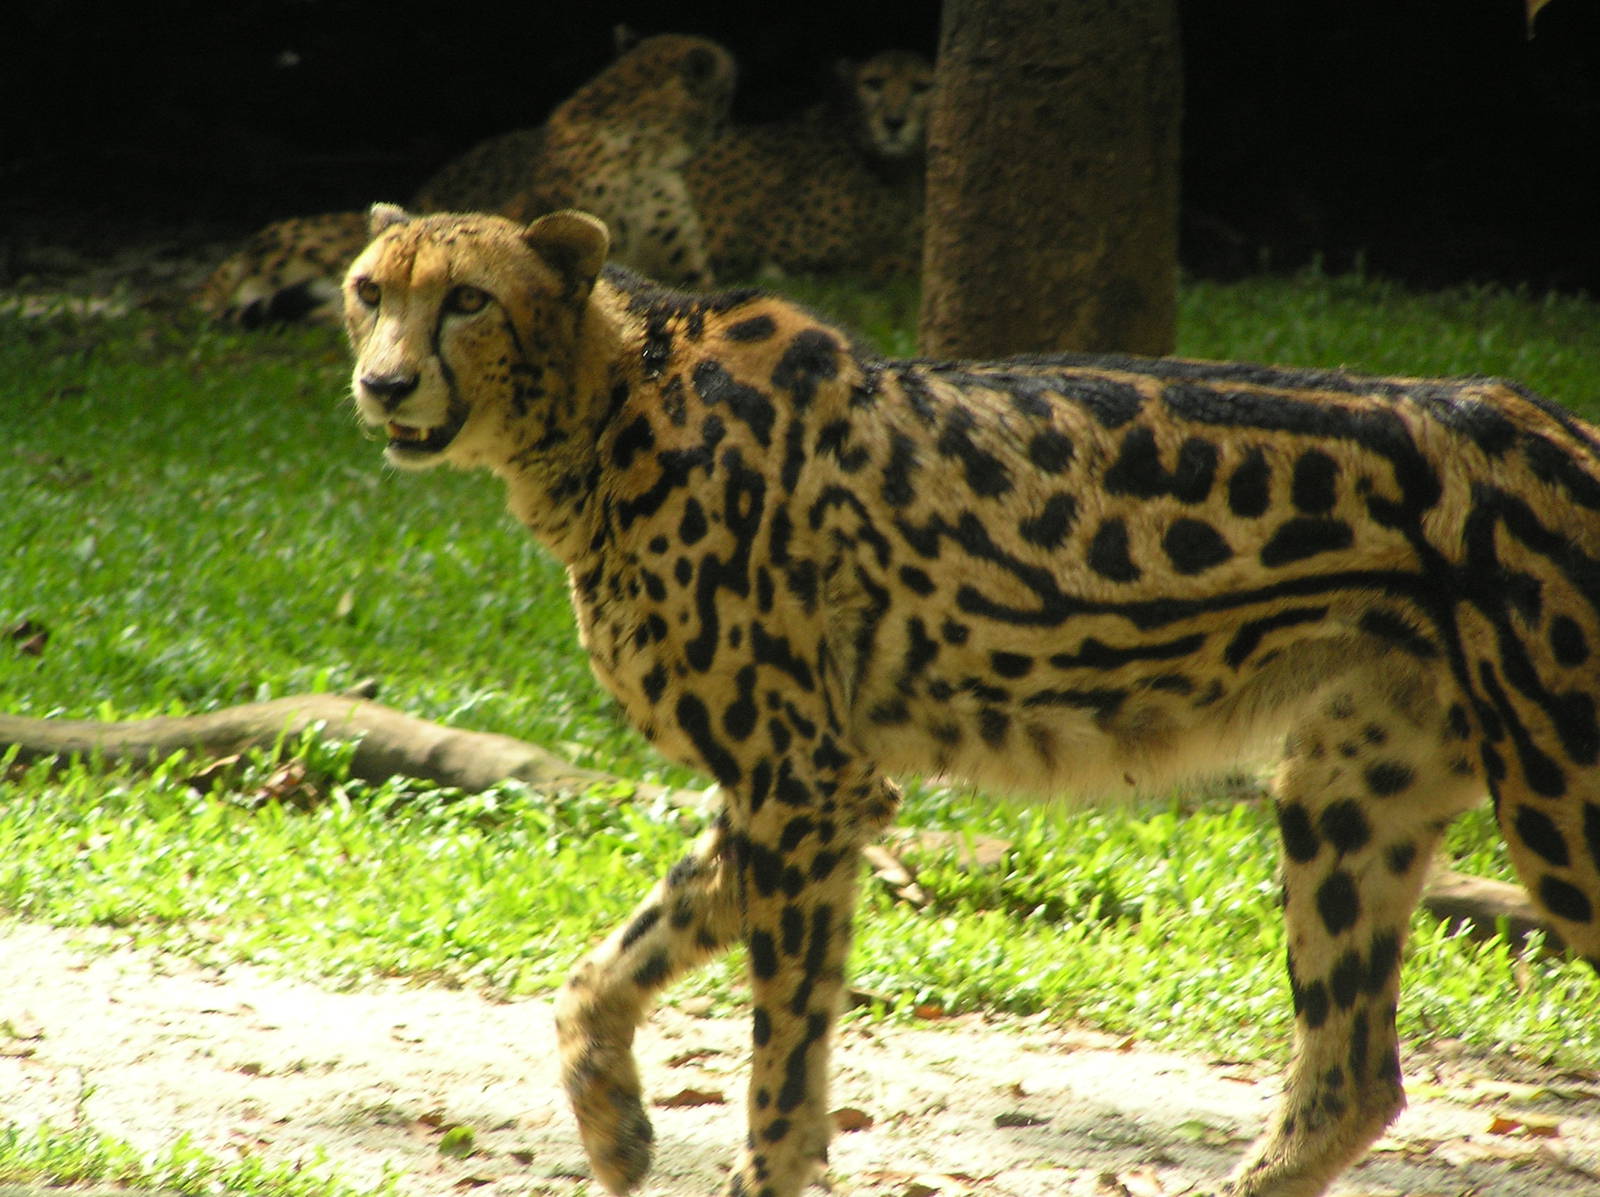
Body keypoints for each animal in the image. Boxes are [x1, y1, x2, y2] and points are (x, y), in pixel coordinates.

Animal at [341, 205, 1600, 1197]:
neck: (609, 401)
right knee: (1353, 1076)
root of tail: (1561, 425)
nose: (382, 384)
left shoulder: (801, 782)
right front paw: (615, 1129)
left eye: (466, 299)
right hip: (1350, 785)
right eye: (369, 291)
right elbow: (608, 966)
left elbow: (783, 1054)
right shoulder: (806, 784)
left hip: (1560, 808)